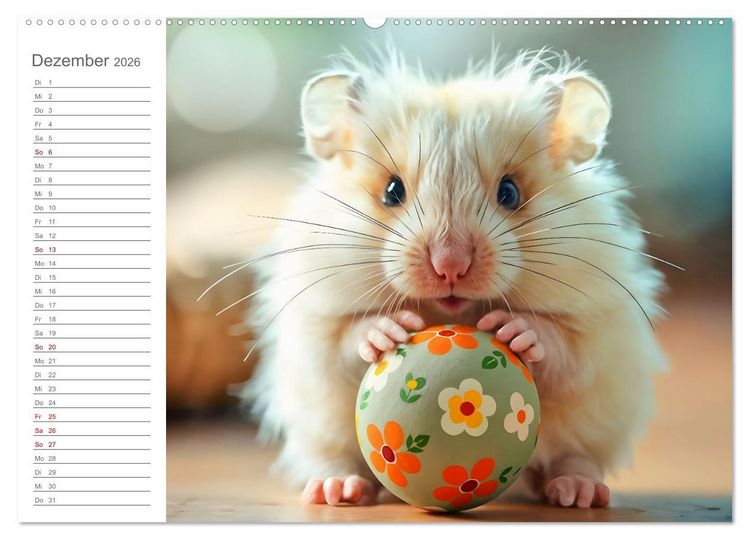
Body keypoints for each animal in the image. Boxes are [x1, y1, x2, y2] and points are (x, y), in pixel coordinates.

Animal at [237, 49, 669, 508]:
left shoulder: (596, 329)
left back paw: (576, 492)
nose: (450, 266)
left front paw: (512, 330)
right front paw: (390, 331)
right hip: (318, 430)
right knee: (334, 460)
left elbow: (562, 349)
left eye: (510, 193)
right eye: (392, 191)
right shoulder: (315, 327)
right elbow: (344, 342)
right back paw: (335, 490)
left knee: (575, 459)